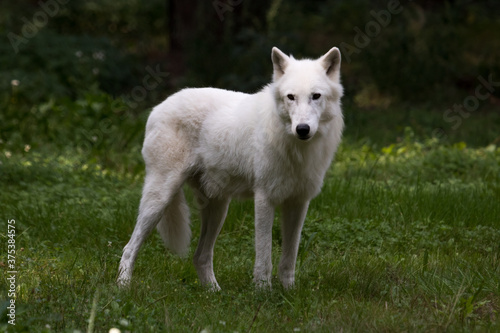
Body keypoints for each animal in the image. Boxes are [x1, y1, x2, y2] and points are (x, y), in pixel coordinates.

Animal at [117, 46, 344, 288]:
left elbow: (289, 258)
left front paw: (289, 291)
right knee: (129, 248)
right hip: (160, 200)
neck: (297, 150)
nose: (302, 129)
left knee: (200, 257)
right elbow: (264, 257)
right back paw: (123, 286)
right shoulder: (264, 199)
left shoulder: (298, 202)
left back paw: (214, 292)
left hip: (218, 208)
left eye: (316, 96)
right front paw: (263, 291)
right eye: (291, 97)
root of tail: (157, 107)